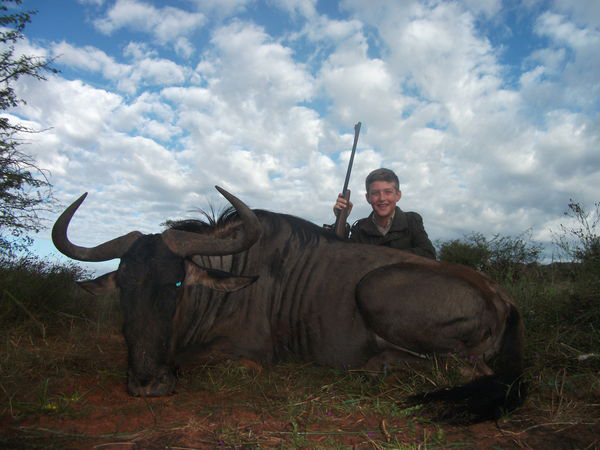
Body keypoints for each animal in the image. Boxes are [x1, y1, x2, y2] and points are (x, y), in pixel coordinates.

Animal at [52, 186, 526, 422]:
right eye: (124, 286)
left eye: (177, 282)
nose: (146, 383)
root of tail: (501, 296)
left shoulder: (246, 354)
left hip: (374, 287)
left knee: (466, 370)